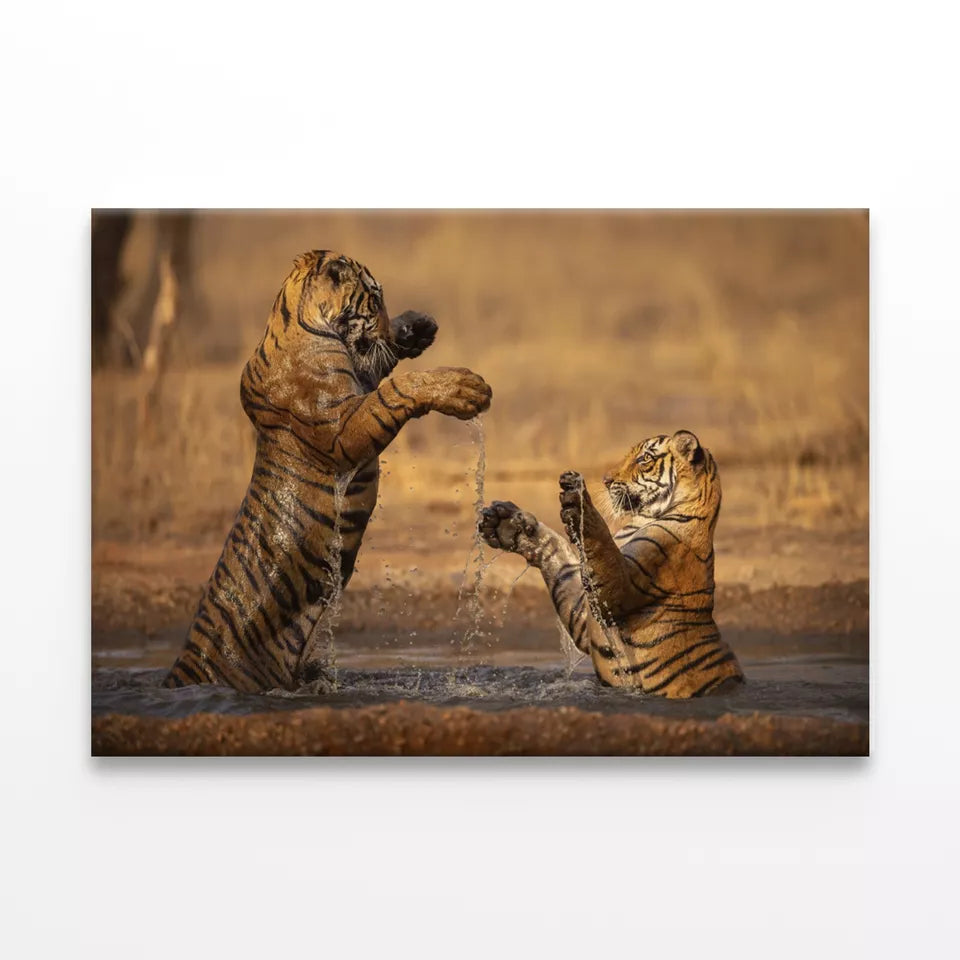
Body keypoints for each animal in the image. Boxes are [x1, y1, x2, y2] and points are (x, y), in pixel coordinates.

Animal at [163, 250, 492, 692]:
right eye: (374, 299)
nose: (391, 323)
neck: (292, 319)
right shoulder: (342, 429)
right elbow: (395, 391)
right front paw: (463, 388)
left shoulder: (360, 379)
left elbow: (381, 363)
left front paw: (417, 326)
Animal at [479, 430, 744, 698]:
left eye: (644, 459)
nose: (606, 480)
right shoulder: (584, 616)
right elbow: (560, 561)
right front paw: (506, 523)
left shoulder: (619, 588)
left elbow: (601, 542)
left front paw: (579, 501)